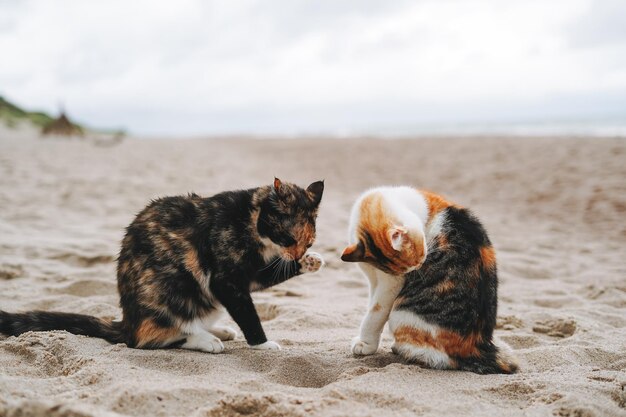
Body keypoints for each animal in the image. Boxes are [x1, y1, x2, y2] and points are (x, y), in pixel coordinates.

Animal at [3, 178, 326, 352]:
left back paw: (219, 331)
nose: (299, 255)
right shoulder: (225, 279)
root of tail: (127, 321)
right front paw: (262, 344)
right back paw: (206, 340)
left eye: (308, 243)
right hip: (172, 288)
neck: (250, 217)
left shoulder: (249, 275)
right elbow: (247, 313)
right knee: (150, 338)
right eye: (288, 238)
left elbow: (264, 276)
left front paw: (311, 262)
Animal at [342, 186, 516, 374]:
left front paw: (365, 344)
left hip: (400, 315)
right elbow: (371, 305)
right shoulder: (374, 278)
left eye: (420, 259)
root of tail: (478, 347)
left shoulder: (391, 283)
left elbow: (375, 312)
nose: (419, 268)